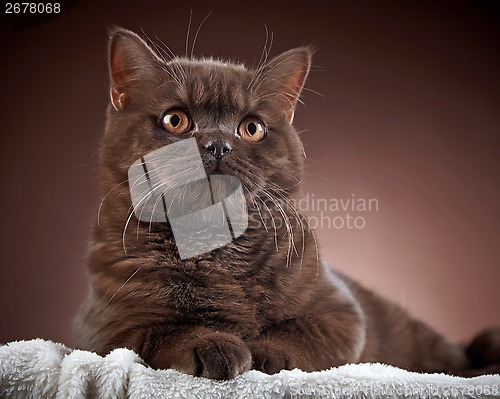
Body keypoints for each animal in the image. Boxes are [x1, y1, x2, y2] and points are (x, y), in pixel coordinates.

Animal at [75, 27, 500, 378]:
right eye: (175, 121)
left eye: (252, 128)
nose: (217, 144)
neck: (217, 249)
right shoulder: (101, 331)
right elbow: (158, 331)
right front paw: (215, 345)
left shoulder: (343, 313)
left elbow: (303, 332)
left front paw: (265, 353)